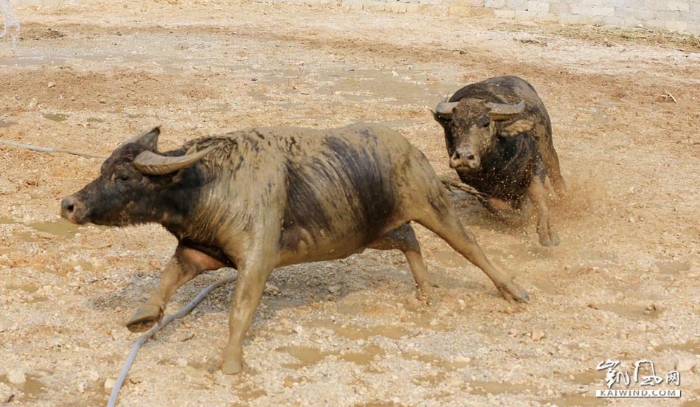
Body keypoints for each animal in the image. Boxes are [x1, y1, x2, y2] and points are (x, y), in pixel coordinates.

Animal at [60, 122, 528, 374]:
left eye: (123, 176)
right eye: (103, 167)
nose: (69, 204)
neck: (207, 185)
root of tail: (410, 148)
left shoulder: (256, 260)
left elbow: (240, 311)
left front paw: (230, 363)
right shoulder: (198, 251)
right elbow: (167, 276)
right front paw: (142, 316)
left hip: (433, 203)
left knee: (468, 246)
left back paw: (514, 291)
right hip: (368, 234)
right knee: (408, 238)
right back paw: (425, 291)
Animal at [432, 77, 568, 249]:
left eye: (485, 123)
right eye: (454, 124)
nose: (464, 156)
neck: (496, 164)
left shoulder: (536, 161)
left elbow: (537, 194)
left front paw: (547, 233)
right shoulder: (477, 187)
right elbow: (503, 211)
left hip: (548, 148)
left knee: (556, 176)